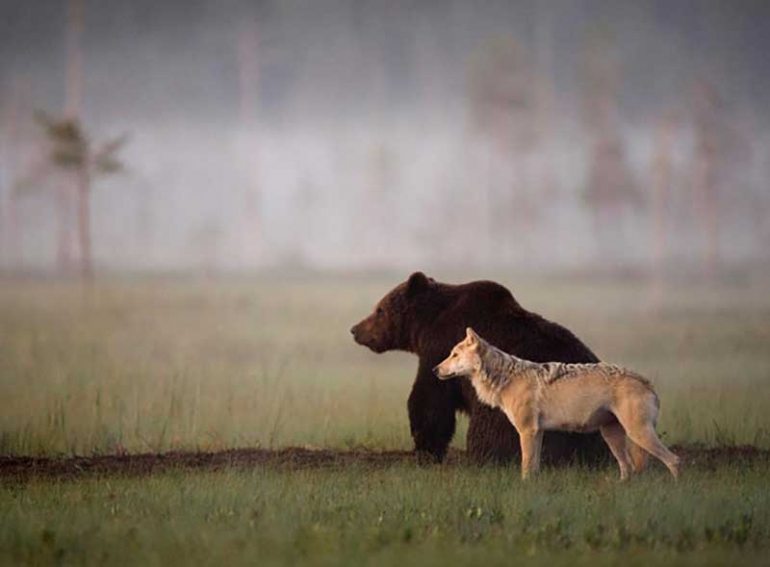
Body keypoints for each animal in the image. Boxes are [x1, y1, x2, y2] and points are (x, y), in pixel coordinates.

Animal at [352, 272, 608, 466]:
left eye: (380, 310)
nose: (355, 329)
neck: (427, 324)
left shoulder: (440, 349)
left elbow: (430, 400)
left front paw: (425, 449)